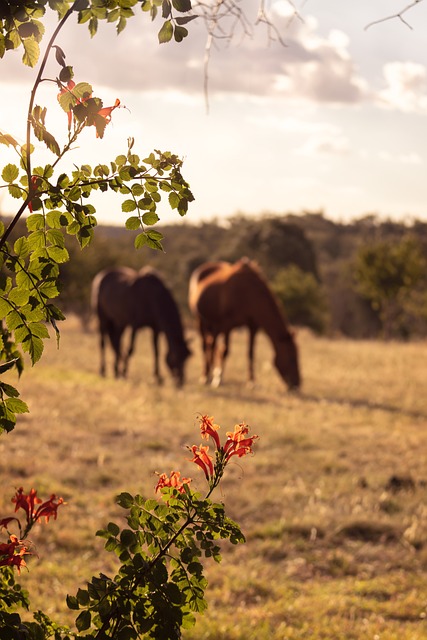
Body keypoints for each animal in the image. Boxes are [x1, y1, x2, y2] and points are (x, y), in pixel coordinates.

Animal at [189, 258, 302, 390]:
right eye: (292, 358)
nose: (297, 384)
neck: (248, 292)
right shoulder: (227, 325)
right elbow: (225, 351)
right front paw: (218, 379)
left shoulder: (253, 326)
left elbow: (251, 353)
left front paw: (251, 381)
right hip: (200, 321)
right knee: (205, 346)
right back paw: (206, 376)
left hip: (213, 325)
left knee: (211, 345)